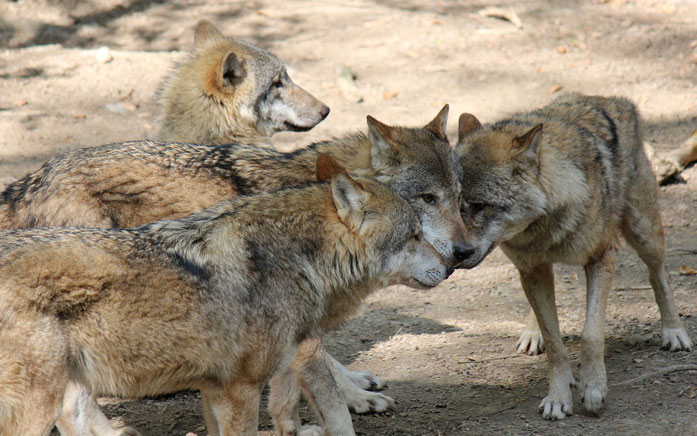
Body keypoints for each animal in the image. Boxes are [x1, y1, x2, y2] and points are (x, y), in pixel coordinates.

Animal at [0, 106, 468, 432]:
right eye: (427, 199)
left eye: (460, 197)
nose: (461, 254)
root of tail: (26, 182)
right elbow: (323, 386)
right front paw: (355, 399)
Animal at [455, 94, 692, 420]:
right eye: (452, 204)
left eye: (479, 206)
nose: (455, 253)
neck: (543, 228)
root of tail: (615, 100)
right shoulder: (532, 270)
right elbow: (554, 342)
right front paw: (558, 396)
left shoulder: (602, 258)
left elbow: (591, 335)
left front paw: (593, 390)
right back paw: (533, 335)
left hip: (644, 234)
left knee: (660, 277)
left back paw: (674, 331)